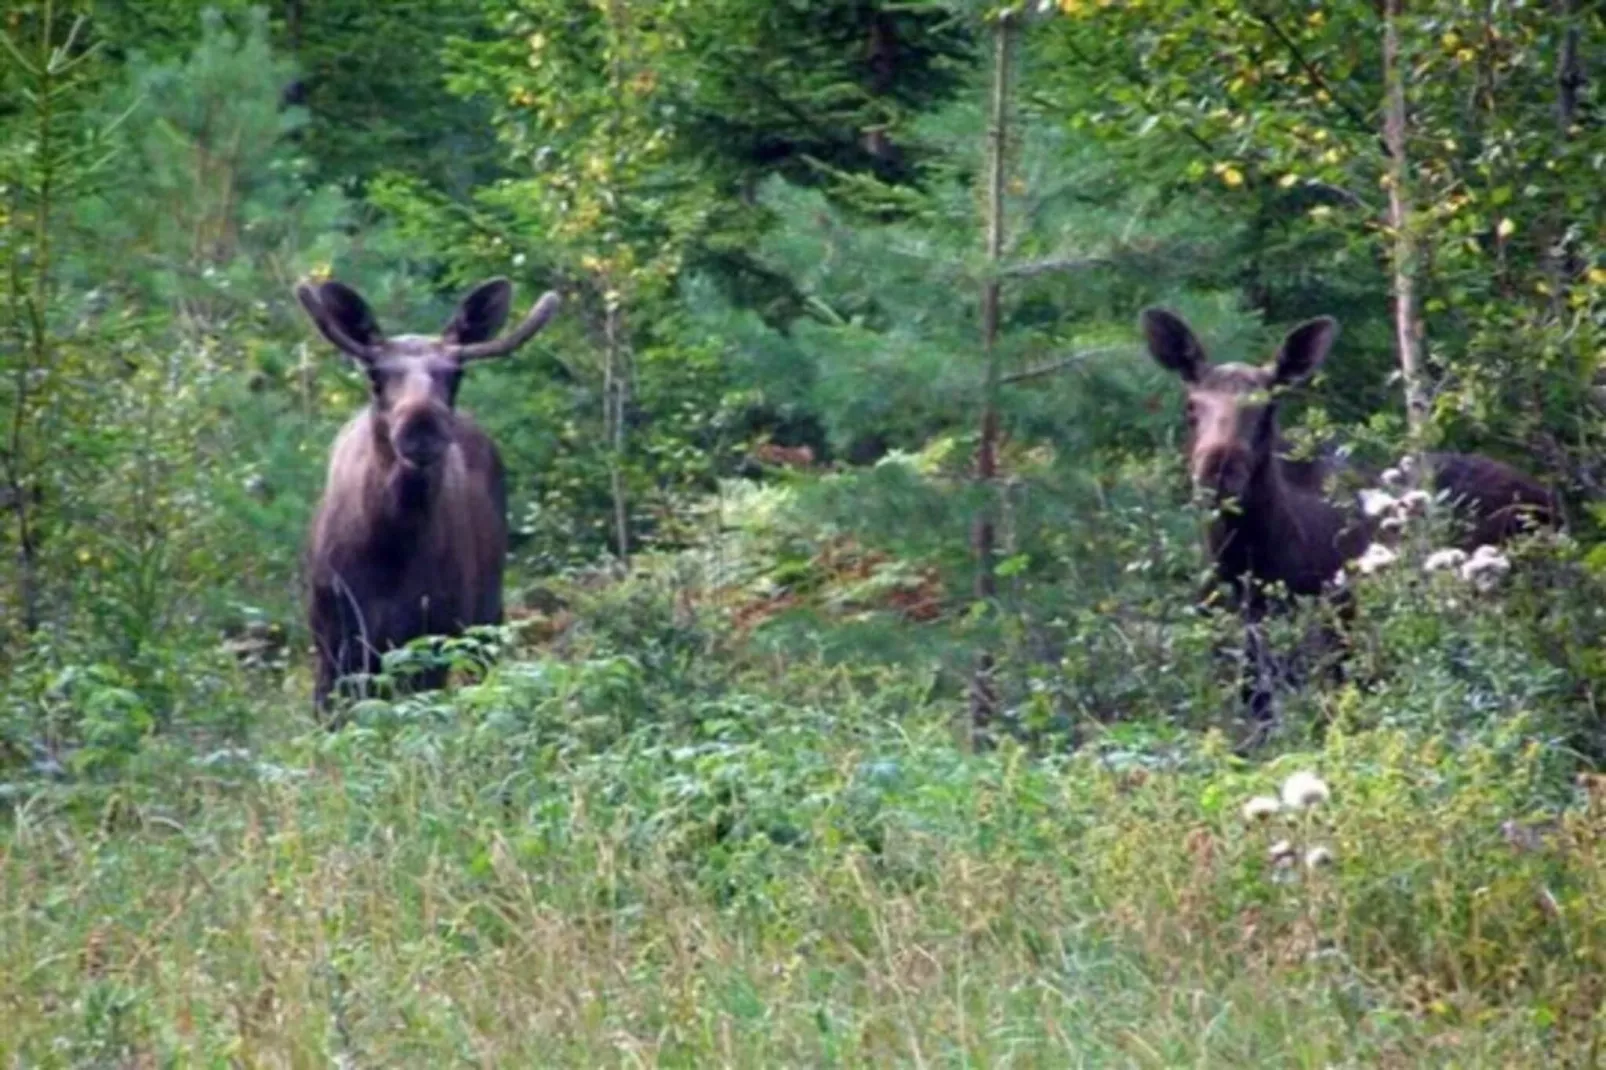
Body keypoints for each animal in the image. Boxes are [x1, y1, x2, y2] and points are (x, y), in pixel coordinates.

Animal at [295, 274, 558, 716]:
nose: (421, 425)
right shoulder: (332, 642)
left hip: (487, 616)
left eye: (456, 374)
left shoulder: (432, 636)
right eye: (375, 375)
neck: (390, 550)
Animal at [1143, 303, 1554, 729]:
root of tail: (1546, 494)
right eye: (1192, 406)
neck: (1247, 563)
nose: (1219, 472)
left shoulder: (1331, 653)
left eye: (1269, 408)